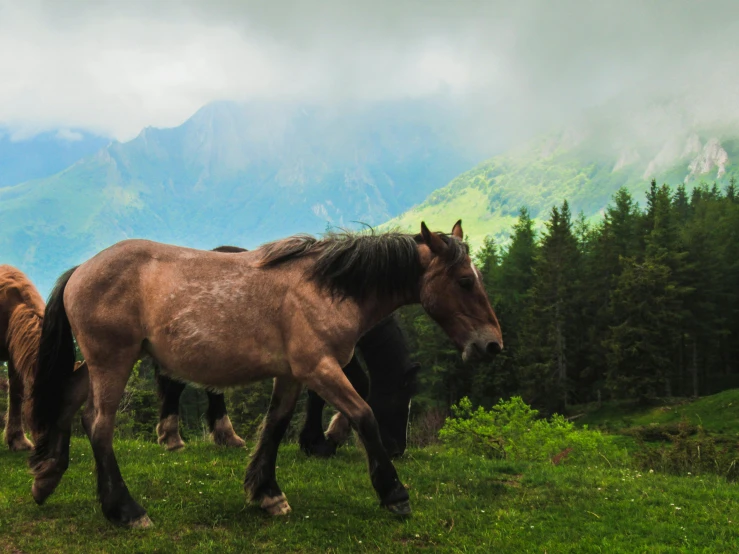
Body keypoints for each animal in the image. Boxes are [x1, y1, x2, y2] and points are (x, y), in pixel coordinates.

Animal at [155, 246, 422, 458]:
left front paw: (318, 440)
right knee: (176, 384)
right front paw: (323, 440)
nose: (397, 450)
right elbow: (356, 384)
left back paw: (225, 437)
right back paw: (173, 437)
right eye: (400, 397)